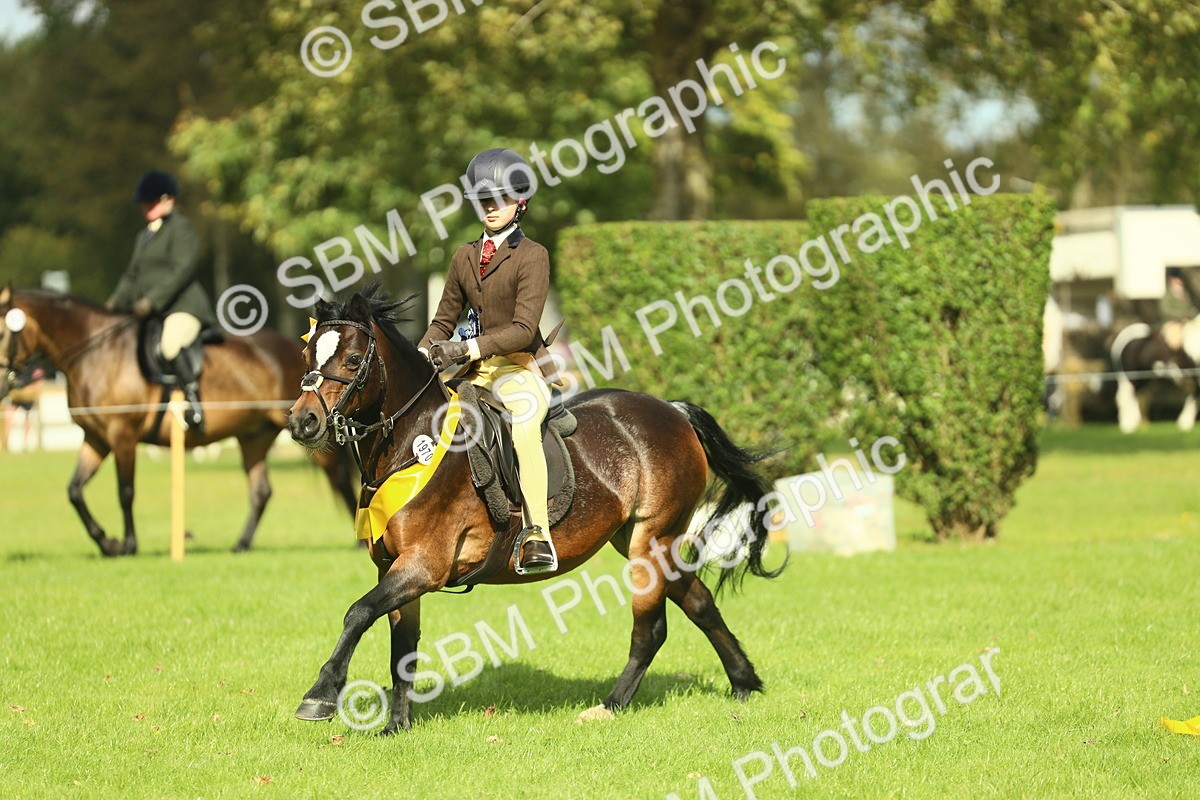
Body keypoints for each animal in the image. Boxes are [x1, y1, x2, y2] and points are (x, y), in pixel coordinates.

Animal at [0, 285, 358, 556]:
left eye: (3, 332)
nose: (3, 385)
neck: (96, 354)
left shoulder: (122, 436)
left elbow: (125, 491)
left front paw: (128, 545)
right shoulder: (97, 438)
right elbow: (75, 491)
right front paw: (107, 543)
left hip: (309, 431)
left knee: (338, 477)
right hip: (254, 436)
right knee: (261, 491)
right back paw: (240, 545)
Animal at [286, 285, 784, 733]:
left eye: (353, 360)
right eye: (308, 354)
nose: (302, 422)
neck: (411, 445)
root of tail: (674, 411)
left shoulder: (425, 565)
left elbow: (358, 612)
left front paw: (320, 695)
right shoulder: (393, 565)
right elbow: (401, 647)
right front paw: (396, 726)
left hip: (651, 538)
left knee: (652, 629)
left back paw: (610, 706)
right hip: (648, 542)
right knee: (699, 602)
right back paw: (744, 683)